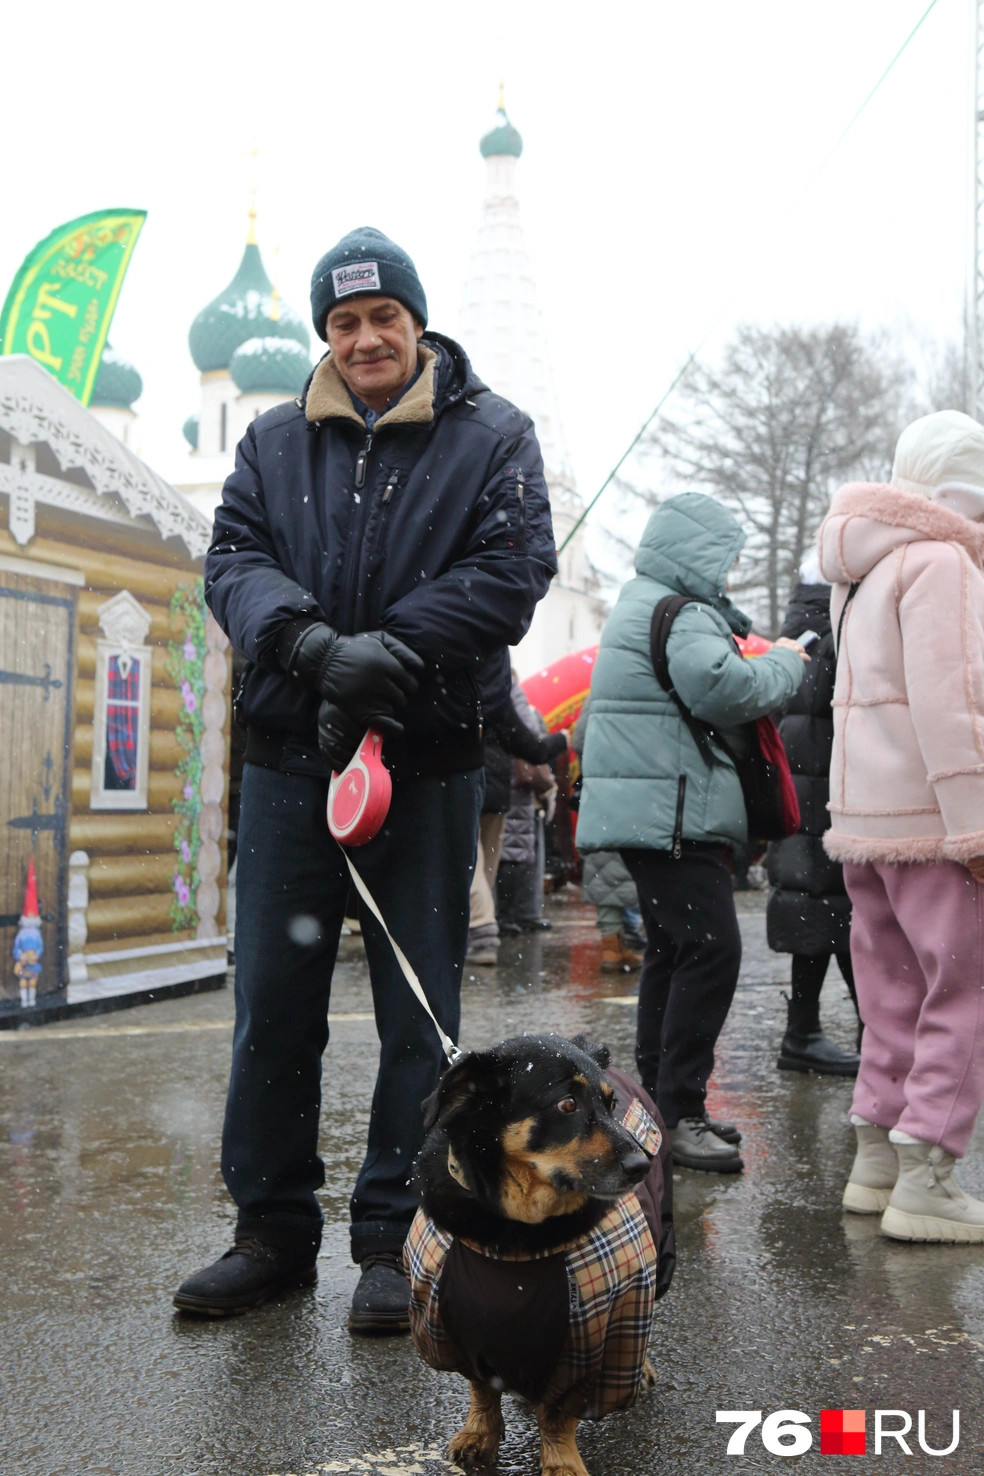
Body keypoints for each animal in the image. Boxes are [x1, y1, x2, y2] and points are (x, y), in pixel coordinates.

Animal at [404, 1033, 672, 1470]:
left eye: (610, 1104)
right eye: (567, 1105)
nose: (641, 1165)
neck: (516, 1233)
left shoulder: (593, 1342)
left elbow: (559, 1414)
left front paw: (561, 1462)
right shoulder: (451, 1327)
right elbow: (481, 1387)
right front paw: (480, 1433)